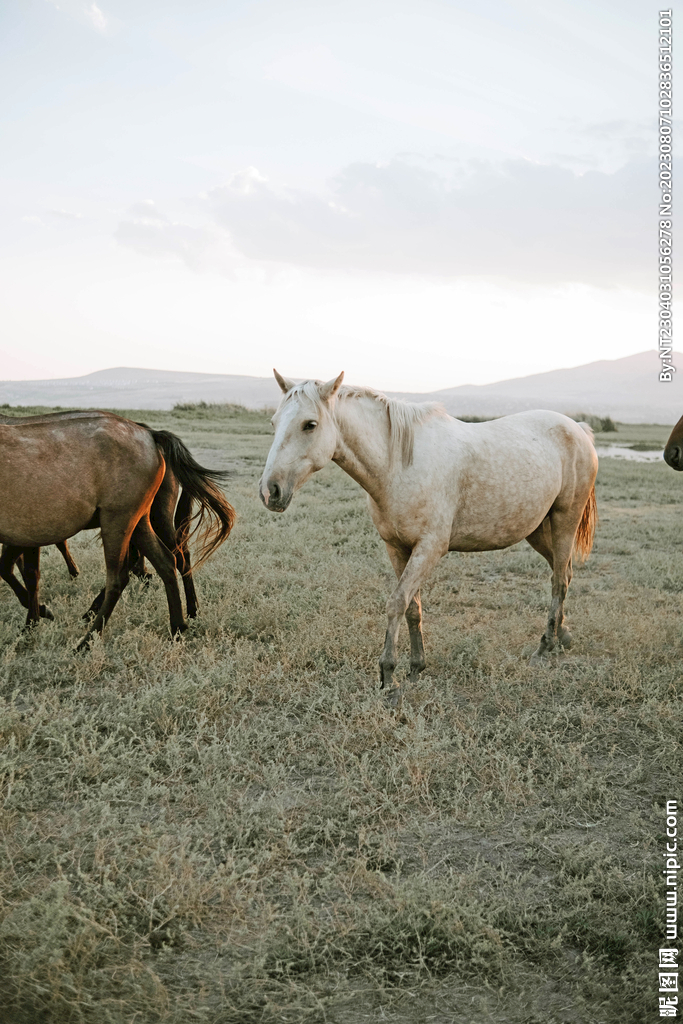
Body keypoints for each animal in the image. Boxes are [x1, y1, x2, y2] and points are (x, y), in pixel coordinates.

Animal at [0, 413, 235, 646]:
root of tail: (150, 434)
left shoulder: (28, 534)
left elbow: (25, 573)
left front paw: (35, 620)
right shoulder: (27, 534)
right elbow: (19, 571)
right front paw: (35, 619)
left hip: (123, 520)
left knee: (124, 576)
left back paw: (87, 640)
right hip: (139, 521)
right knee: (168, 561)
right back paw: (178, 627)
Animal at [259, 371, 598, 707]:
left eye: (310, 424)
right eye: (274, 422)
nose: (270, 491)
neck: (399, 464)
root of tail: (578, 429)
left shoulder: (430, 548)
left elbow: (396, 602)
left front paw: (388, 677)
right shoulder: (397, 548)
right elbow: (412, 607)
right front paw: (415, 668)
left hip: (564, 520)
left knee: (558, 581)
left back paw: (545, 647)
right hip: (537, 530)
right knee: (564, 573)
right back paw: (562, 635)